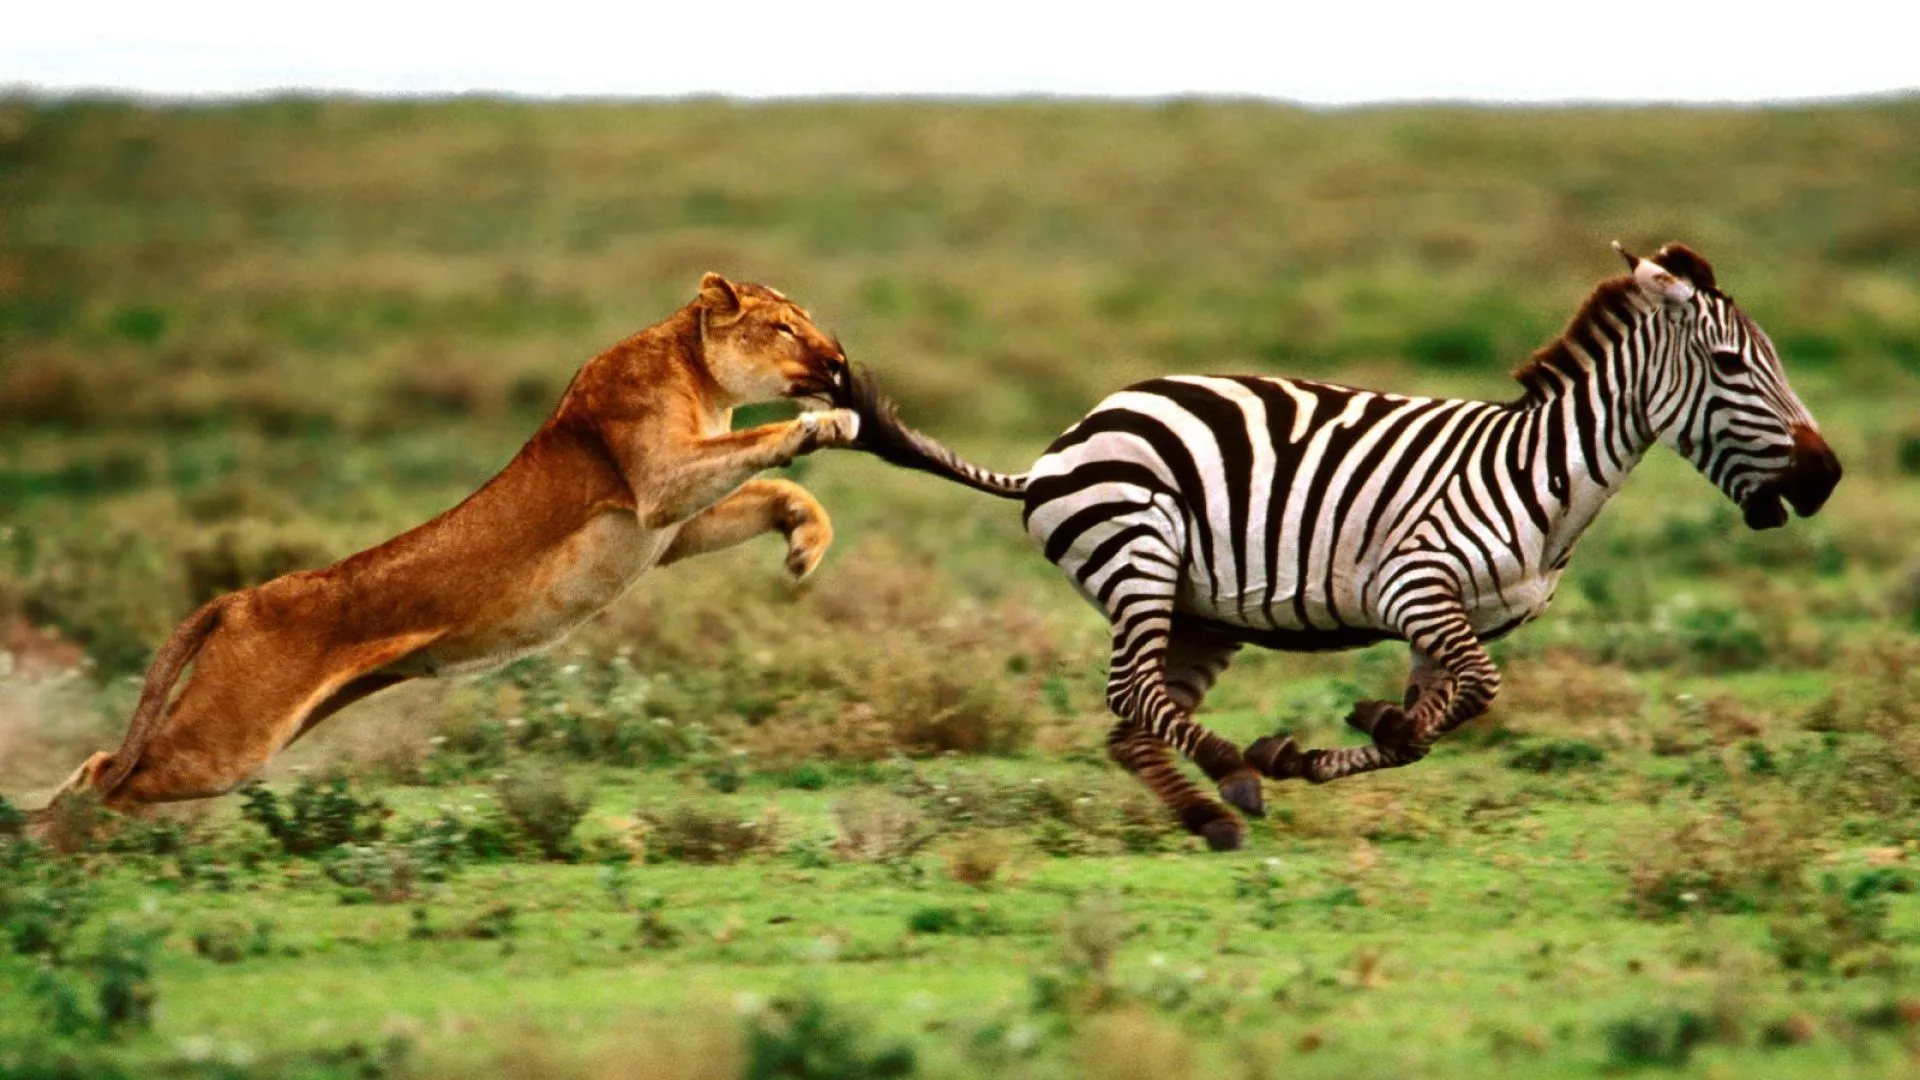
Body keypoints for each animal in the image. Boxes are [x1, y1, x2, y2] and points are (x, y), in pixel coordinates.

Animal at [837, 242, 1843, 849]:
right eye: (1732, 366)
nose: (1825, 478)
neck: (1541, 475)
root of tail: (1062, 444)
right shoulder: (1416, 584)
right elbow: (1479, 694)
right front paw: (1312, 747)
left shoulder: (1457, 621)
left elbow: (1438, 722)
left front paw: (1352, 736)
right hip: (1139, 554)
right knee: (1132, 694)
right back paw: (1232, 777)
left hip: (1198, 609)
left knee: (1132, 718)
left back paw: (1208, 813)